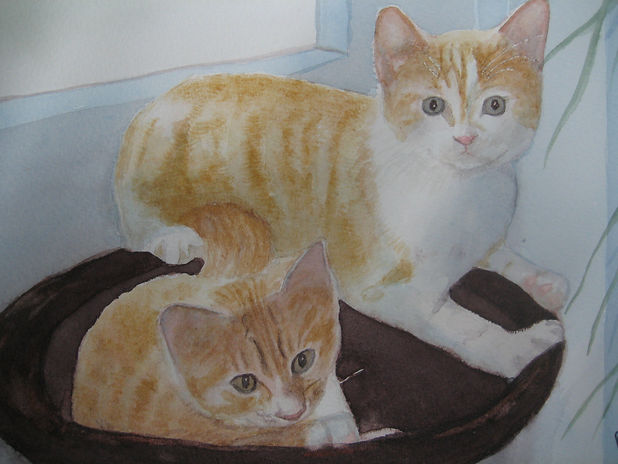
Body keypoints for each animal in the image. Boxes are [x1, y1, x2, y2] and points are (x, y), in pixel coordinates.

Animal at [113, 0, 566, 379]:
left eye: (496, 106)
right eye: (433, 106)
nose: (466, 138)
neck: (460, 191)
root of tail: (153, 107)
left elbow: (496, 253)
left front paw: (542, 280)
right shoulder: (376, 288)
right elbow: (456, 323)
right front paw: (516, 349)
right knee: (139, 228)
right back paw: (173, 237)